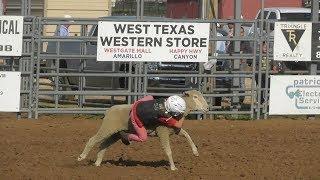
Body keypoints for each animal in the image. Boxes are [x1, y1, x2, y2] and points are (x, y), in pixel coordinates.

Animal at [76, 89, 209, 170]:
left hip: (115, 133)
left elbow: (187, 135)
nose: (207, 108)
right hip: (107, 128)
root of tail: (110, 109)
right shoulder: (162, 131)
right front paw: (173, 167)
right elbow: (168, 150)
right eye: (195, 97)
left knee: (103, 145)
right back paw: (82, 157)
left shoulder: (174, 130)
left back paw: (98, 163)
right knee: (93, 140)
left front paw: (195, 152)